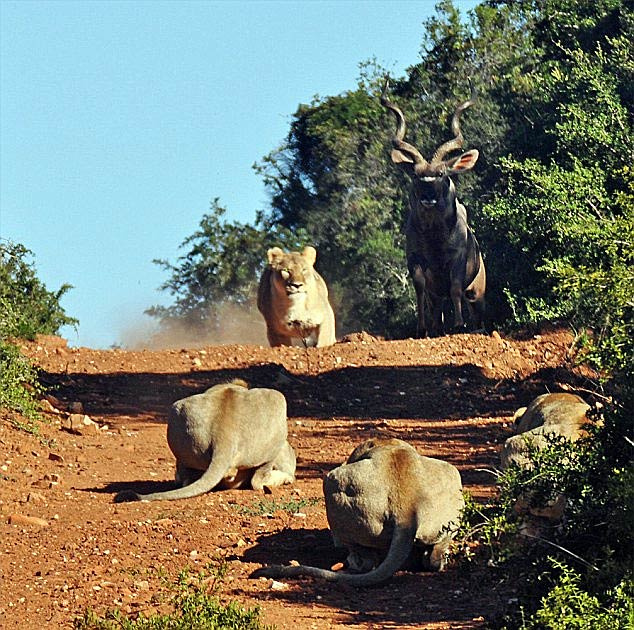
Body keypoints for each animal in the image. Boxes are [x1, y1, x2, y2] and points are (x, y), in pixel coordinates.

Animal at [249, 440, 462, 588]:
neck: (387, 444)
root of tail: (406, 509)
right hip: (453, 479)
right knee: (435, 557)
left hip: (332, 484)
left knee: (364, 561)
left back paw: (351, 561)